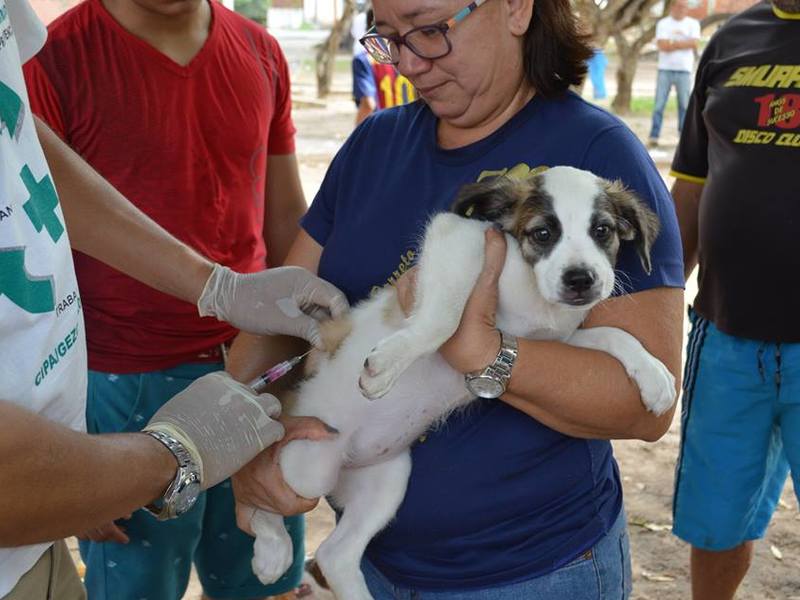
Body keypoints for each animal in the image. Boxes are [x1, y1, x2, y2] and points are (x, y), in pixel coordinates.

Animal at [244, 165, 676, 600]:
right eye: (542, 233)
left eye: (602, 230)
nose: (581, 280)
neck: (533, 295)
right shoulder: (458, 238)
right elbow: (445, 319)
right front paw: (389, 362)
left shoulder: (553, 343)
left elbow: (613, 335)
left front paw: (653, 375)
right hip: (307, 464)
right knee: (260, 497)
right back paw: (271, 550)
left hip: (387, 480)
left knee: (335, 555)